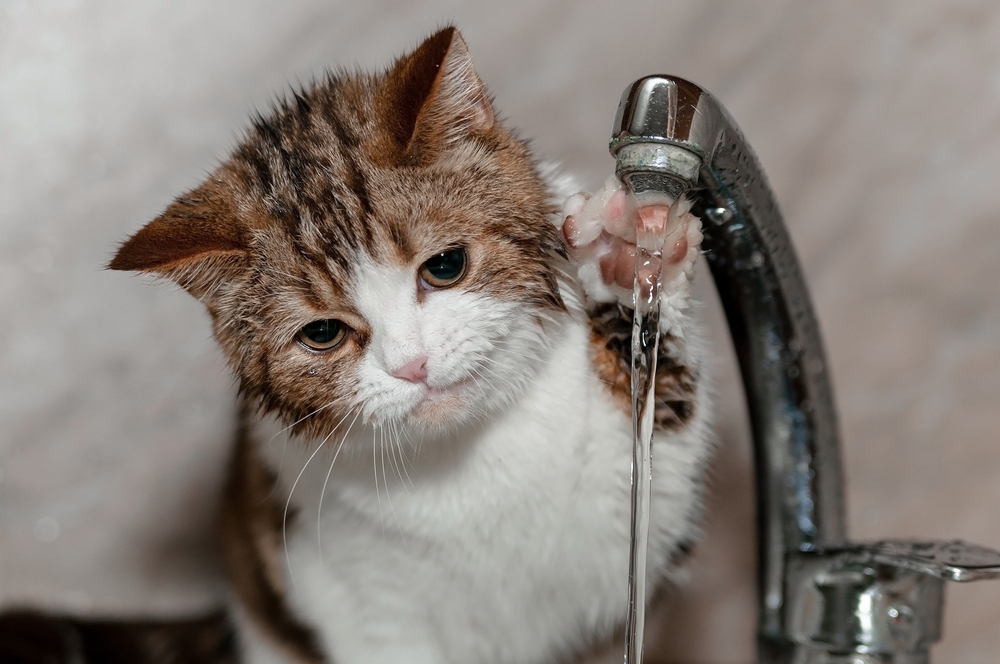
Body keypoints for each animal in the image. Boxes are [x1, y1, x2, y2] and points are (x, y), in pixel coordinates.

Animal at [101, 26, 712, 664]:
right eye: (322, 333)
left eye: (444, 266)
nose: (412, 365)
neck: (463, 463)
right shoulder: (353, 592)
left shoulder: (615, 524)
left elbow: (647, 493)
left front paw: (628, 256)